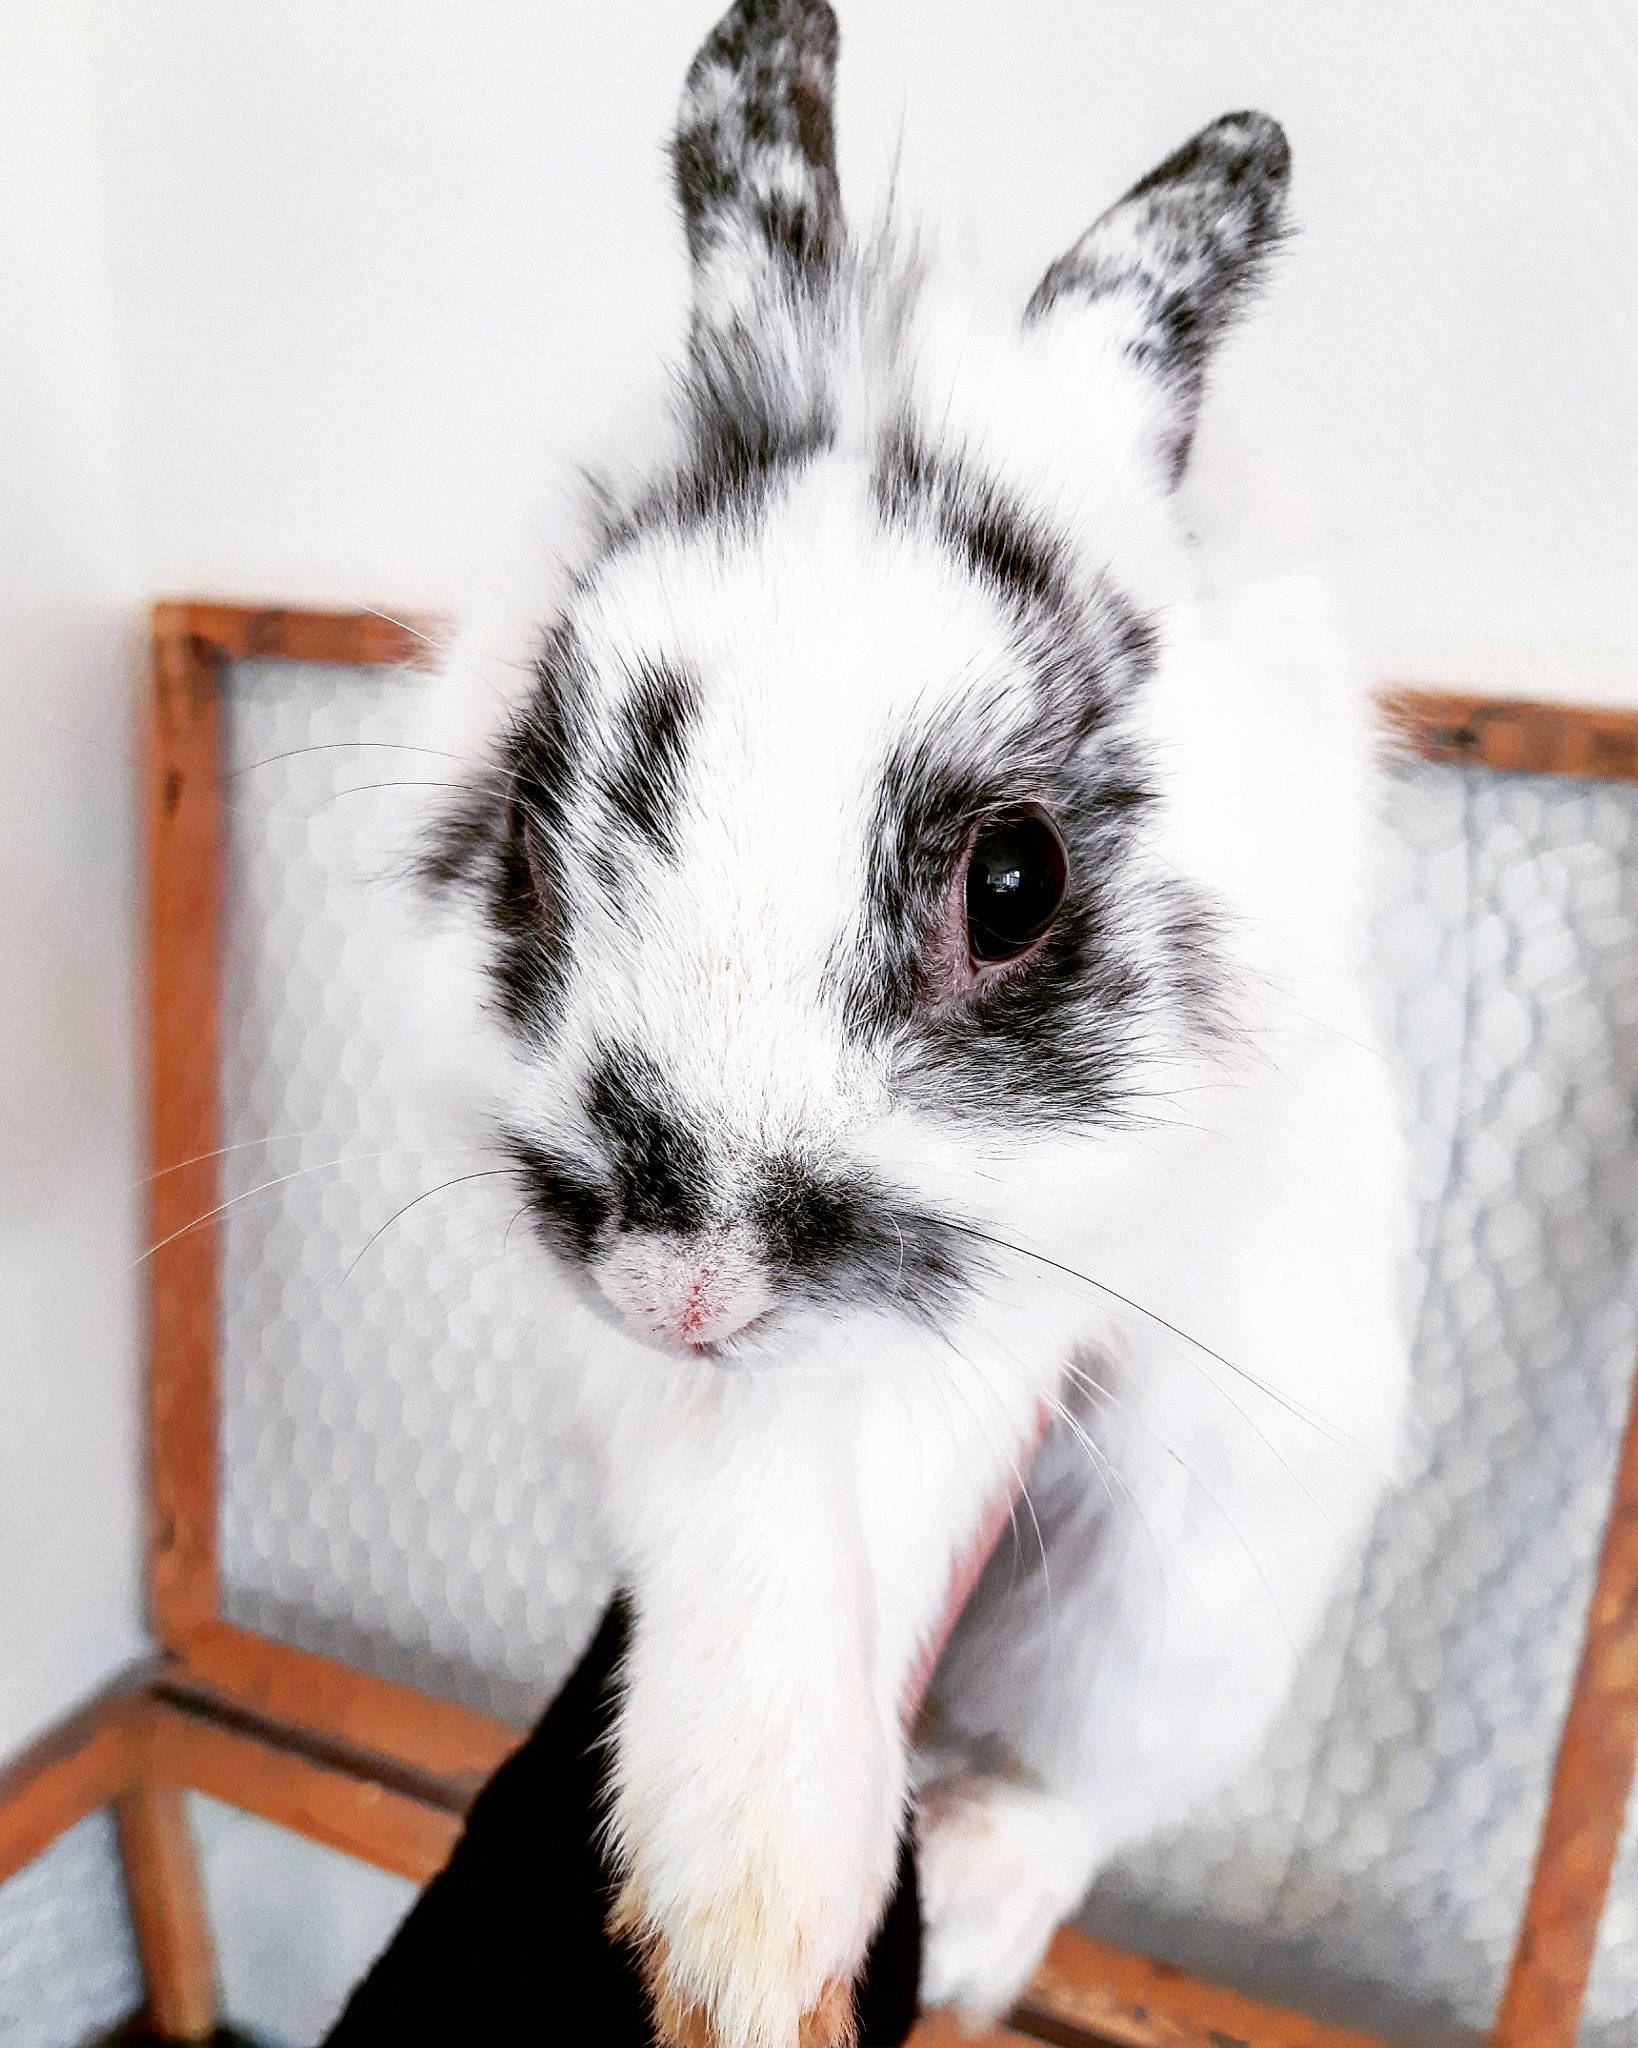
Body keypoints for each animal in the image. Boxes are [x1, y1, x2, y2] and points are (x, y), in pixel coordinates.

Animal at [406, 1, 1410, 2043]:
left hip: (1189, 1589)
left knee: (1077, 1781)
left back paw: (980, 1895)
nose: (684, 1287)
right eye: (535, 817)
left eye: (1012, 882)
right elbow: (749, 1502)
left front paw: (803, 1926)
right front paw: (753, 1928)